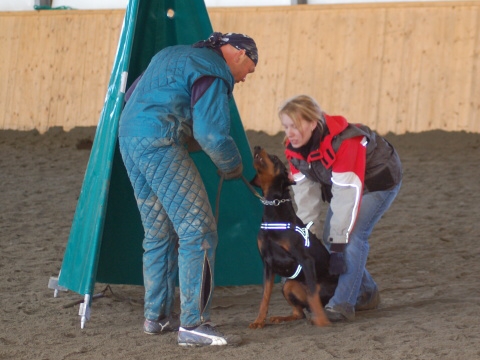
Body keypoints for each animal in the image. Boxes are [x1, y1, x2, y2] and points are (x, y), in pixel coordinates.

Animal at [249, 146, 336, 330]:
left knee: (314, 302)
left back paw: (319, 317)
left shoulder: (306, 260)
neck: (274, 213)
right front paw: (259, 321)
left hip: (319, 284)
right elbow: (264, 296)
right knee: (300, 312)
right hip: (288, 284)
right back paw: (281, 318)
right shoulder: (267, 263)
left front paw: (322, 322)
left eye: (275, 158)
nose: (257, 147)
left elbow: (313, 294)